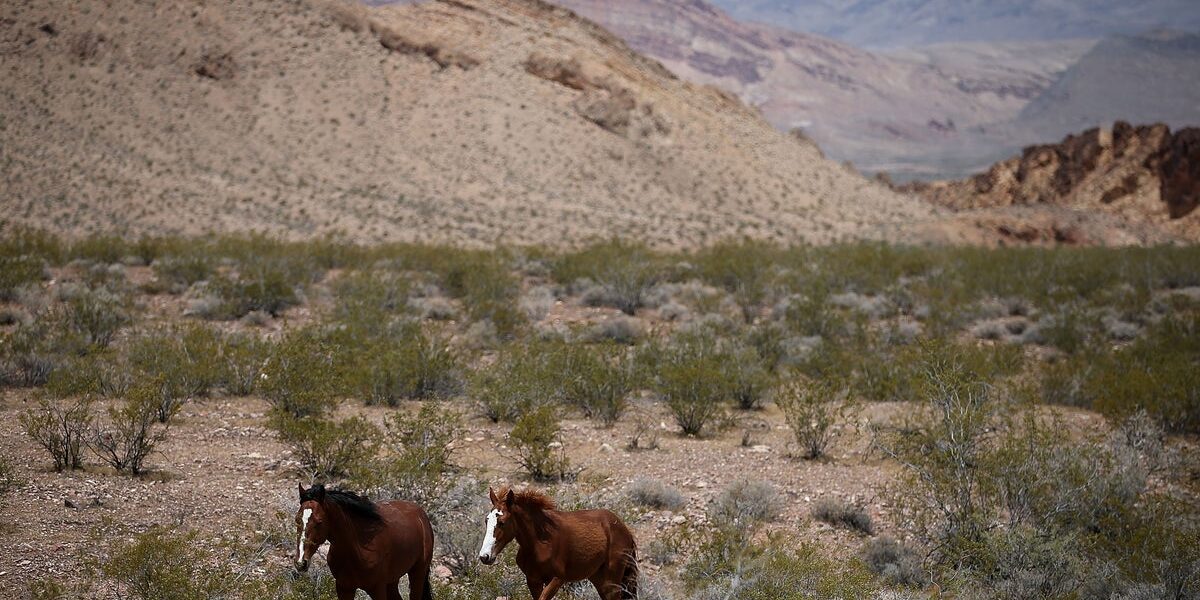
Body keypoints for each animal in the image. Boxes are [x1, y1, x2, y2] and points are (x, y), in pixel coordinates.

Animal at [294, 483, 435, 600]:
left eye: (319, 522)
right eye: (297, 520)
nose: (301, 562)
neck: (358, 550)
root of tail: (421, 514)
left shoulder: (377, 589)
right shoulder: (344, 588)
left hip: (418, 572)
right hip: (392, 581)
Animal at [477, 486, 638, 600]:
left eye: (502, 522)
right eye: (486, 520)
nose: (485, 556)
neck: (539, 543)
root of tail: (625, 530)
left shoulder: (557, 579)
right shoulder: (533, 580)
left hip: (612, 579)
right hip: (599, 579)